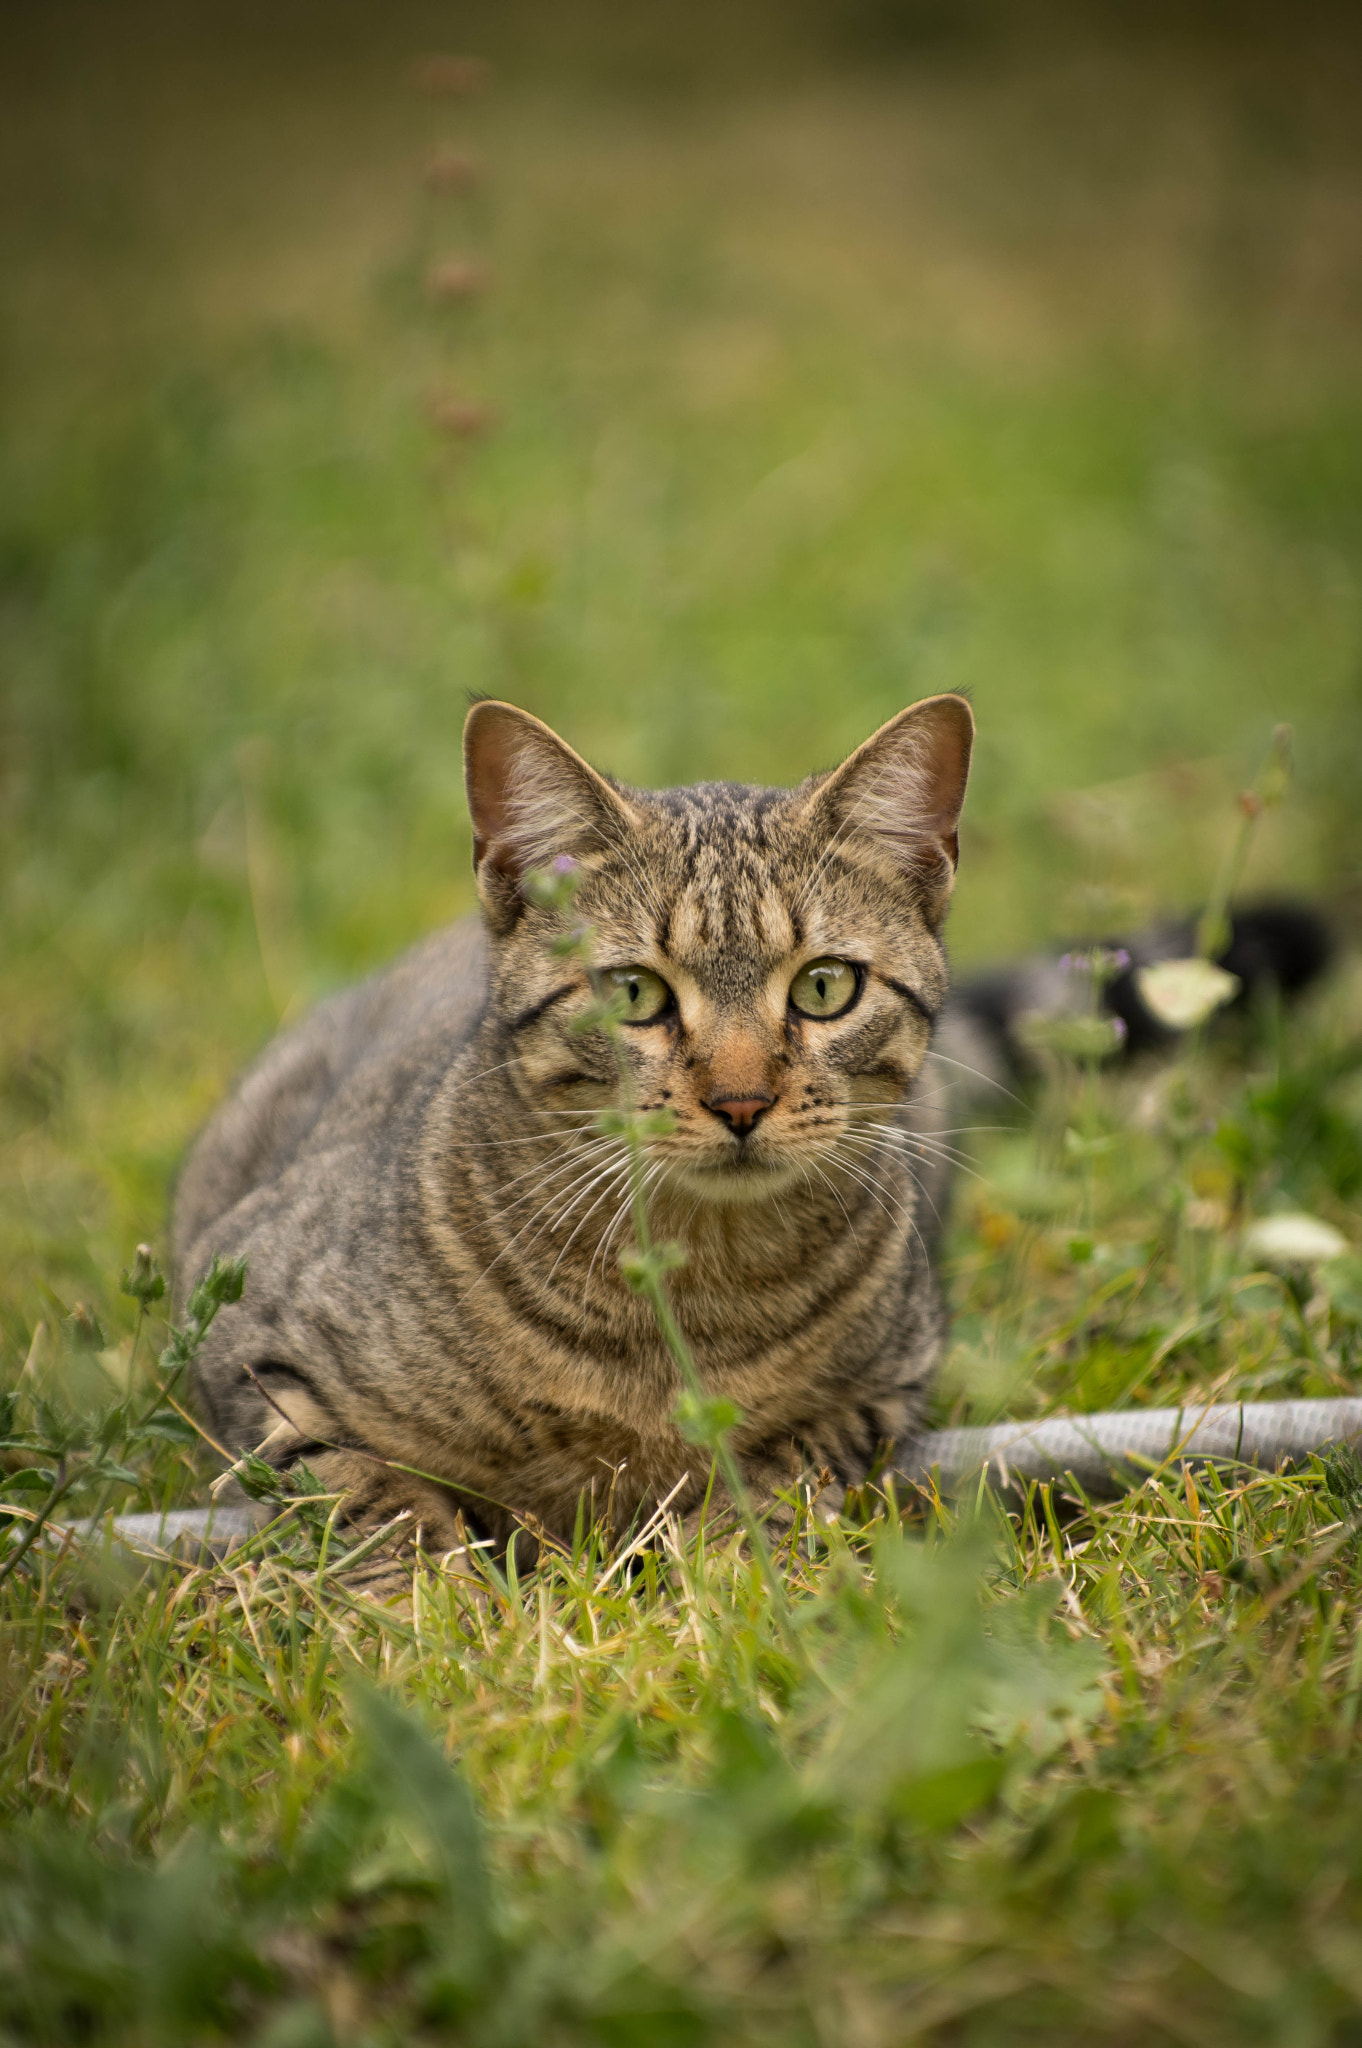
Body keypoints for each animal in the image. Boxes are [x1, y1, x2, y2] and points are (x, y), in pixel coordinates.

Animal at [175, 692, 970, 1548]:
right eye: (634, 992)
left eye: (824, 987)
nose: (741, 1101)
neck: (698, 1291)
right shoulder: (249, 1342)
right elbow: (370, 1503)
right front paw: (437, 1578)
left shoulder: (888, 1387)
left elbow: (783, 1474)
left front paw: (723, 1555)